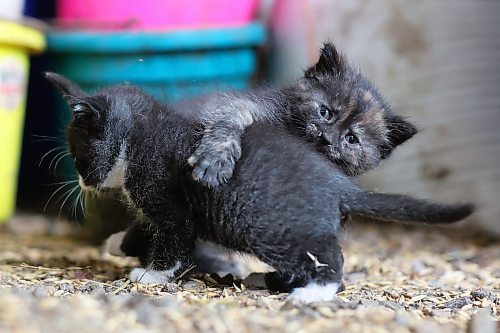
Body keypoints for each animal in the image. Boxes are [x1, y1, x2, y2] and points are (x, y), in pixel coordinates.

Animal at [46, 73, 472, 304]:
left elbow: (174, 242)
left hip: (274, 229)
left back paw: (310, 292)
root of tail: (340, 183)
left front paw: (152, 275)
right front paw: (120, 243)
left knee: (330, 260)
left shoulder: (170, 206)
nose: (82, 181)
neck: (144, 132)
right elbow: (146, 230)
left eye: (79, 156)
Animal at [188, 42, 418, 185]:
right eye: (325, 112)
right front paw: (215, 161)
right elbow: (230, 118)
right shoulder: (244, 104)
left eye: (352, 139)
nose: (327, 138)